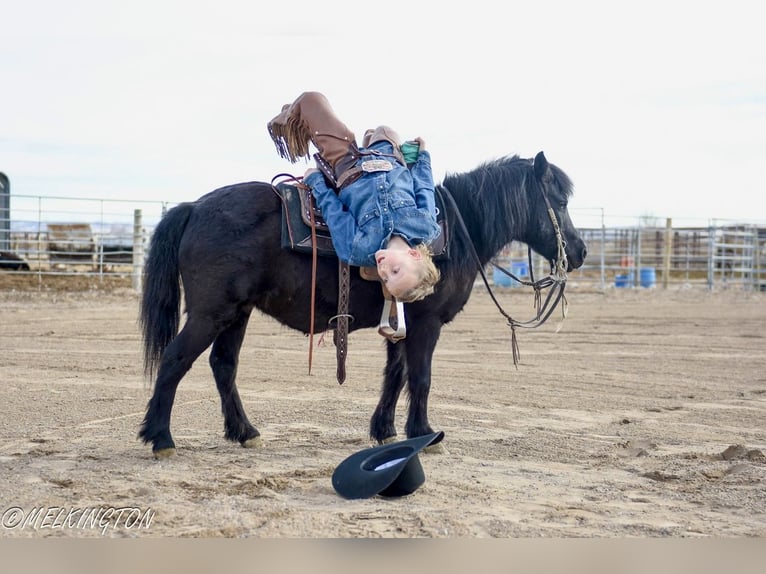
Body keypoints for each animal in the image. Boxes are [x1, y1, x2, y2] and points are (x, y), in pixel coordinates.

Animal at [140, 152, 588, 460]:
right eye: (561, 202)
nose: (581, 251)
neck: (453, 231)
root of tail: (194, 208)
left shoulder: (402, 321)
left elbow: (395, 376)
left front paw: (385, 431)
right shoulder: (426, 323)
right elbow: (420, 378)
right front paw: (424, 434)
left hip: (237, 313)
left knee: (224, 365)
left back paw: (245, 432)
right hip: (211, 313)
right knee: (175, 360)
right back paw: (160, 438)